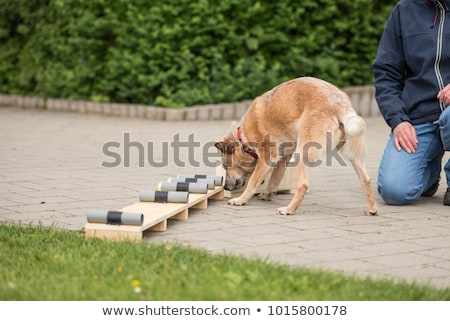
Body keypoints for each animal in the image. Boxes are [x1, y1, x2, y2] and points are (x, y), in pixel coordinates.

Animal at [216, 76, 378, 214]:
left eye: (225, 166)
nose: (225, 187)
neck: (243, 138)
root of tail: (338, 103)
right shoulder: (284, 156)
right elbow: (275, 178)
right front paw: (267, 194)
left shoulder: (267, 156)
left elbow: (253, 182)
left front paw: (241, 200)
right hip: (353, 155)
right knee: (366, 179)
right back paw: (372, 209)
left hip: (303, 152)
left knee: (303, 185)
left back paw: (289, 209)